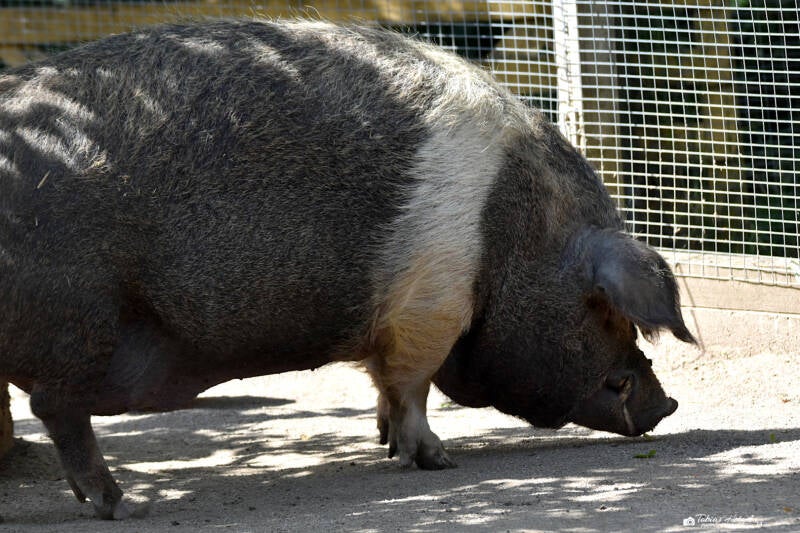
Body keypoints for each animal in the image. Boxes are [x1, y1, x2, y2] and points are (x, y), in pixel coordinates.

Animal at [0, 19, 695, 519]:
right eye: (600, 308)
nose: (667, 402)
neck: (505, 235)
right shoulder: (430, 304)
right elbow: (412, 386)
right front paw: (436, 462)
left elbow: (384, 383)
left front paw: (385, 443)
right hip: (78, 319)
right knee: (55, 406)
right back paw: (123, 505)